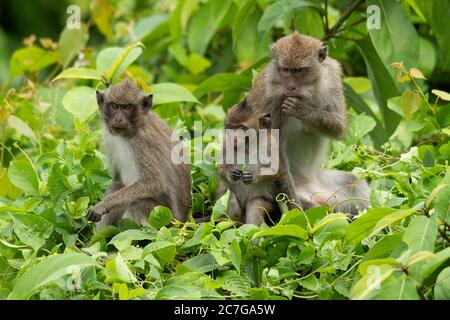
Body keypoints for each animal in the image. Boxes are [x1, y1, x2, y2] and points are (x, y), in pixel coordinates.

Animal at [86, 79, 192, 226]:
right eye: (114, 106)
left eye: (127, 107)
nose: (118, 119)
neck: (128, 134)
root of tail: (182, 220)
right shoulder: (110, 139)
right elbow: (117, 180)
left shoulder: (143, 142)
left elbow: (154, 183)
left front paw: (103, 205)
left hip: (167, 218)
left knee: (139, 204)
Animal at [246, 31, 370, 214]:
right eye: (286, 70)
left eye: (298, 71)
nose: (290, 87)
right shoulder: (270, 97)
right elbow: (274, 149)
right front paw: (297, 212)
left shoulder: (332, 75)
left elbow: (339, 126)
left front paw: (301, 110)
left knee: (354, 182)